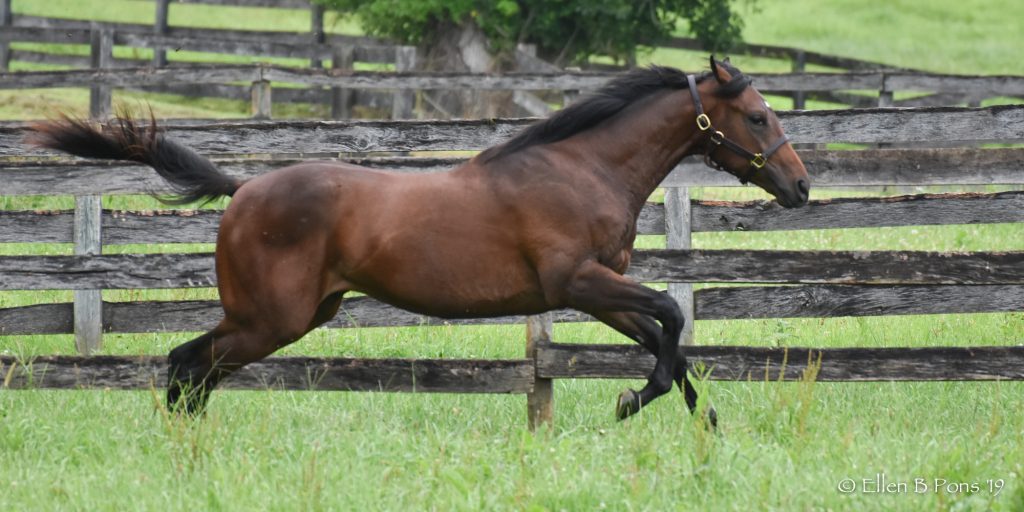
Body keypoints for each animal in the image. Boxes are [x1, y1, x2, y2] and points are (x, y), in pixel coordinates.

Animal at [29, 56, 806, 423]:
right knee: (187, 364)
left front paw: (704, 427)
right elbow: (672, 317)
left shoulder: (600, 294)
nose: (801, 188)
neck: (582, 169)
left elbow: (670, 342)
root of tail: (243, 190)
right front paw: (631, 404)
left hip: (290, 316)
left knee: (194, 369)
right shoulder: (578, 282)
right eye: (759, 117)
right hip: (269, 318)